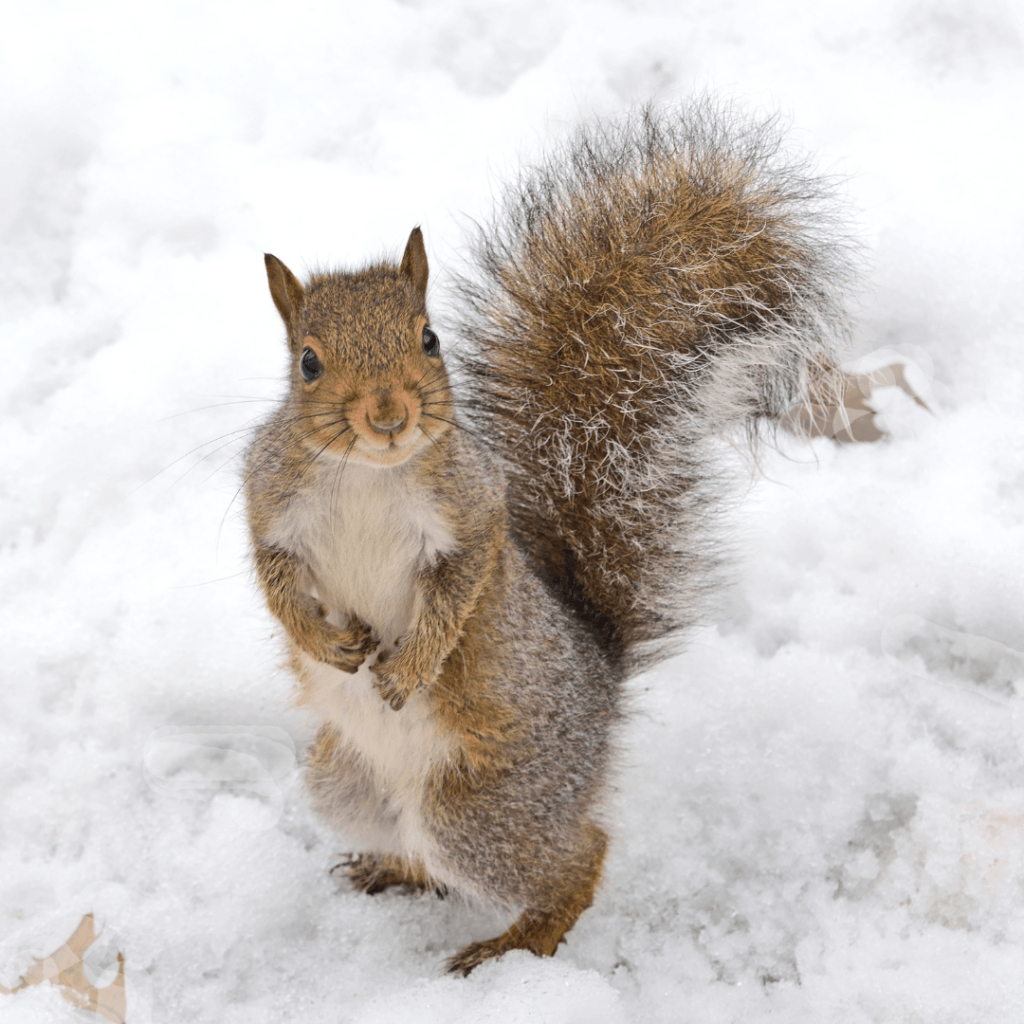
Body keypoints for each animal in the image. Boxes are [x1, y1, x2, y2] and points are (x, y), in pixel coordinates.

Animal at [244, 102, 853, 975]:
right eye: (308, 363)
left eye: (429, 340)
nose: (388, 415)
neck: (367, 475)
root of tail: (602, 681)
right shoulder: (270, 511)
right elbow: (277, 586)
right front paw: (323, 644)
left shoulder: (473, 511)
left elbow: (462, 587)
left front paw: (414, 664)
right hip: (343, 783)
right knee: (424, 850)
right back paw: (393, 867)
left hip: (485, 805)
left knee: (577, 855)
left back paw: (514, 943)